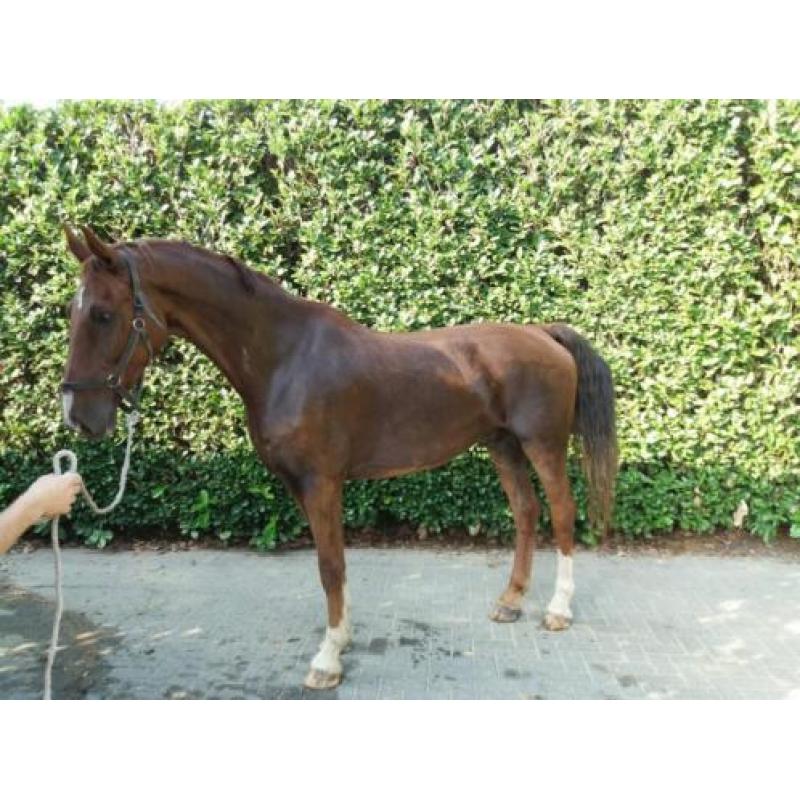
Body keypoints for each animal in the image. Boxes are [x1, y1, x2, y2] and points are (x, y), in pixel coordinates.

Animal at [60, 224, 618, 690]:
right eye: (73, 312)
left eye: (103, 314)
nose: (77, 416)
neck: (284, 358)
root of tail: (543, 332)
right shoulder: (303, 485)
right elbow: (333, 563)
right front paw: (342, 638)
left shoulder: (320, 481)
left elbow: (330, 565)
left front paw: (327, 660)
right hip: (503, 445)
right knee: (526, 512)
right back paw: (510, 602)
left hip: (542, 445)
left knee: (562, 513)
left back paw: (558, 610)